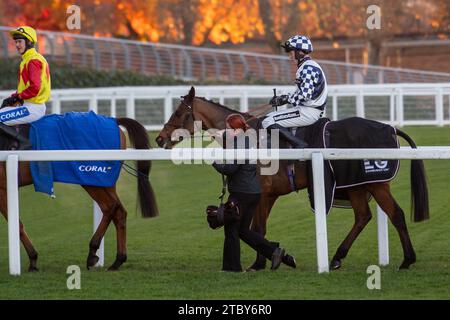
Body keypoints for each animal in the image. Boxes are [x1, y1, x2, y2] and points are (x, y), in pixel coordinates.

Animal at [0, 111, 159, 272]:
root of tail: (113, 120)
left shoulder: (2, 188)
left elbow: (17, 224)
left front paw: (33, 260)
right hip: (104, 181)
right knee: (119, 211)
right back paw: (117, 260)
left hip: (91, 176)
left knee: (110, 207)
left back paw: (93, 253)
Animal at [157, 86, 428, 272]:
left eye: (179, 112)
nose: (160, 138)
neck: (250, 136)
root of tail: (390, 128)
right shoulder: (269, 196)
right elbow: (258, 228)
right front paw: (273, 258)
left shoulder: (263, 194)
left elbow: (257, 228)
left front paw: (262, 262)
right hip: (357, 186)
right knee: (364, 216)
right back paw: (337, 257)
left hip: (375, 184)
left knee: (395, 214)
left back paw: (407, 259)